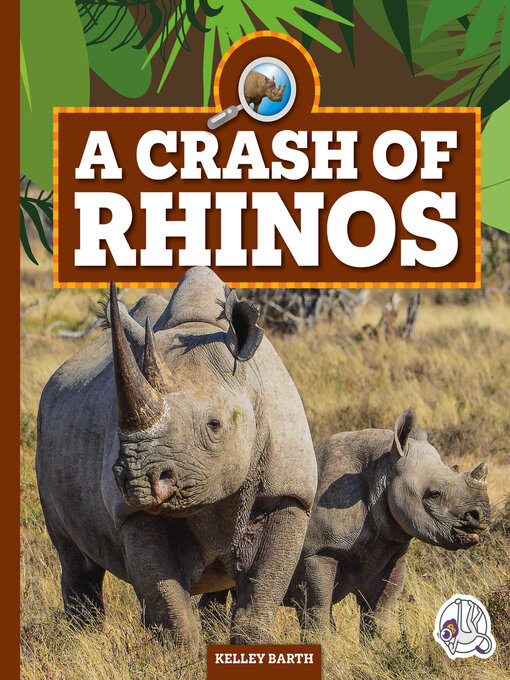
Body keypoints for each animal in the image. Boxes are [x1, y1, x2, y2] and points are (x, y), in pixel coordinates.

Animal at [36, 267, 317, 653]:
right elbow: (169, 602)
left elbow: (260, 595)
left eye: (214, 425)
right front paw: (181, 659)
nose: (138, 480)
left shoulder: (289, 494)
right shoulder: (132, 513)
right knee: (76, 561)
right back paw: (83, 642)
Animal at [200, 408, 491, 640]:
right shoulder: (318, 551)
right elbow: (318, 609)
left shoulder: (391, 550)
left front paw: (381, 655)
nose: (481, 517)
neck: (384, 470)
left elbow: (380, 614)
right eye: (434, 494)